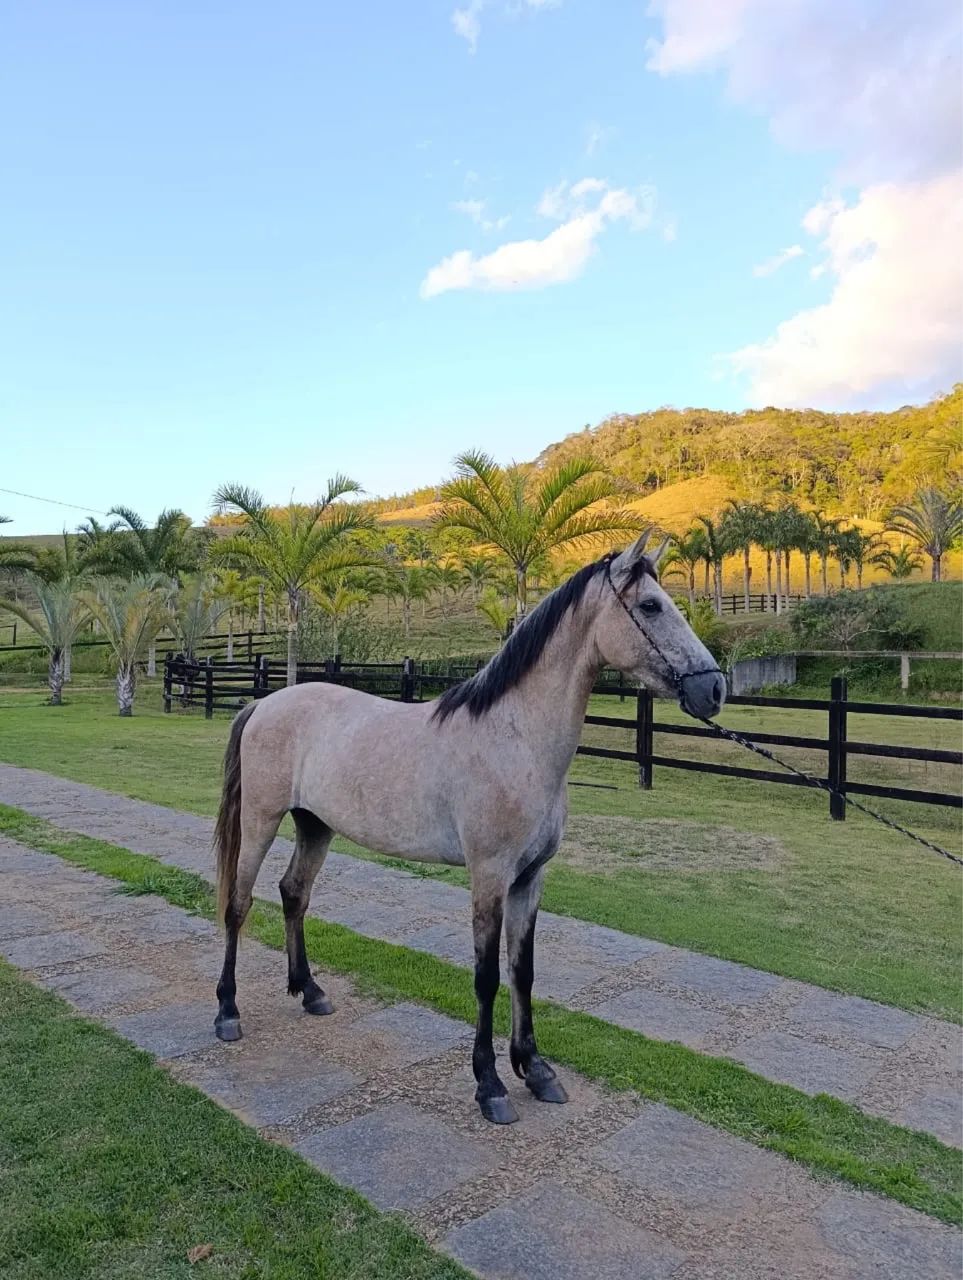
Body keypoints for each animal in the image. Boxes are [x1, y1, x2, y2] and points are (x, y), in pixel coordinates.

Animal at [212, 533, 725, 1124]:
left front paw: (536, 1070)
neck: (516, 739)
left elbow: (522, 971)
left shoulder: (530, 879)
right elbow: (486, 978)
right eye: (650, 606)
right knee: (239, 904)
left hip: (315, 826)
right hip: (261, 820)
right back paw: (227, 1011)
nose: (715, 689)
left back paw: (311, 991)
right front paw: (491, 1086)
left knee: (294, 893)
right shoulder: (490, 877)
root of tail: (263, 703)